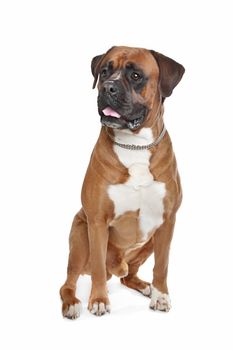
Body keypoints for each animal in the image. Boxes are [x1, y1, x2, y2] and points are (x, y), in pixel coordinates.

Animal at [60, 45, 186, 318]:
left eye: (136, 76)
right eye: (104, 71)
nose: (108, 87)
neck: (135, 144)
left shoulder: (167, 222)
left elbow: (162, 265)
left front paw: (161, 296)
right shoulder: (97, 221)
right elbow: (97, 266)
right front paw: (98, 300)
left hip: (149, 241)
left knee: (127, 275)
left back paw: (146, 287)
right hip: (80, 238)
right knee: (69, 282)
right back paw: (72, 303)